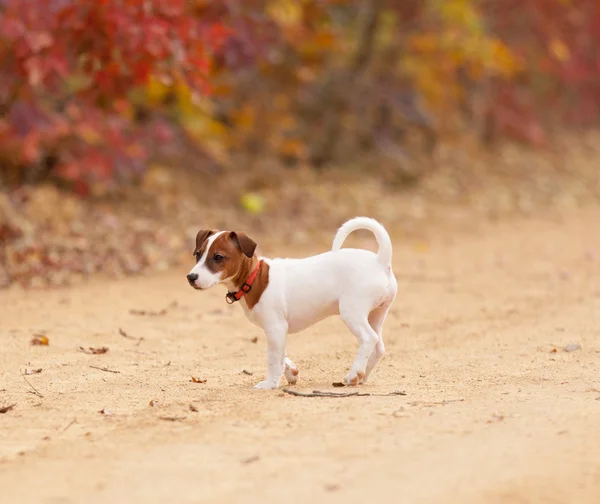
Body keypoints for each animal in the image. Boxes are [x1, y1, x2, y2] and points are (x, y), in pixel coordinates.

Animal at [185, 217, 396, 390]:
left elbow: (273, 358)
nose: (191, 277)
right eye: (198, 254)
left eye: (218, 257)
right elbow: (279, 354)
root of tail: (380, 261)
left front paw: (270, 383)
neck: (254, 279)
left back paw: (354, 374)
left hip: (352, 312)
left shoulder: (276, 327)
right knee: (379, 347)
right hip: (376, 315)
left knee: (368, 338)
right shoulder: (278, 330)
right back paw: (362, 375)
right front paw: (290, 372)